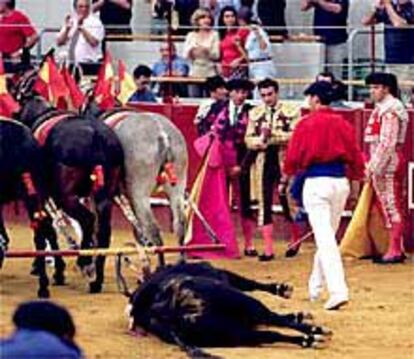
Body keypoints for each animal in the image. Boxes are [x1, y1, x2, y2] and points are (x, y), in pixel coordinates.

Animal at [0, 119, 65, 298]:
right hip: (39, 191)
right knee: (47, 226)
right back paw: (58, 274)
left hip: (29, 193)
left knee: (41, 231)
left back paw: (43, 286)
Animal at [13, 74, 125, 294]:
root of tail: (95, 134)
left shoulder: (42, 196)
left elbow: (48, 230)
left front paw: (55, 269)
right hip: (103, 195)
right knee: (103, 231)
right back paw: (96, 279)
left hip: (65, 197)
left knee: (87, 219)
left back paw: (84, 261)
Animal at [126, 262, 334, 359]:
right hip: (244, 306)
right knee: (271, 320)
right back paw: (314, 334)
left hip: (233, 333)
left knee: (269, 332)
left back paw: (307, 336)